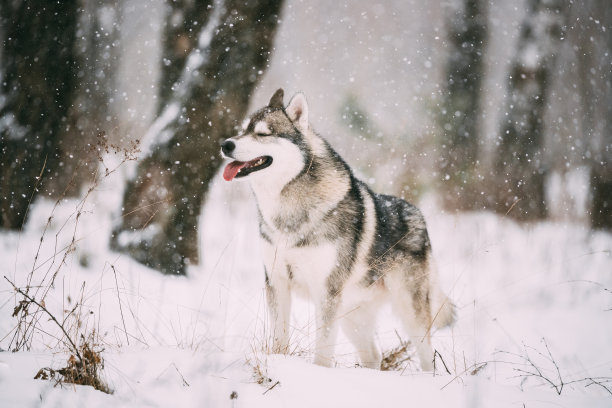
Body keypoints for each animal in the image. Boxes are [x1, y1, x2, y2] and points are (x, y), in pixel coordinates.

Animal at [221, 88, 454, 370]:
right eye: (243, 130)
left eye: (263, 133)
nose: (226, 145)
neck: (287, 214)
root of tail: (419, 215)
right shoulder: (276, 283)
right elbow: (279, 339)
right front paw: (278, 363)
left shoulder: (326, 293)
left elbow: (322, 351)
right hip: (352, 319)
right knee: (373, 356)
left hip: (410, 313)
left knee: (427, 356)